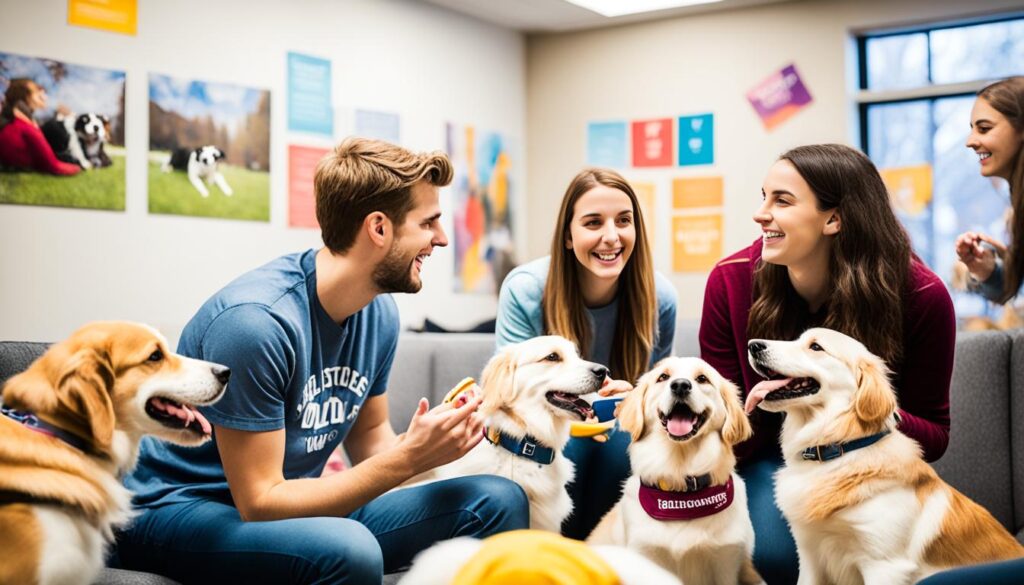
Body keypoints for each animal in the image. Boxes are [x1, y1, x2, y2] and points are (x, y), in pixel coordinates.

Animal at [589, 356, 765, 585]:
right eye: (663, 377)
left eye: (702, 379)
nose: (680, 385)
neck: (682, 491)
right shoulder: (645, 555)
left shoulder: (726, 561)